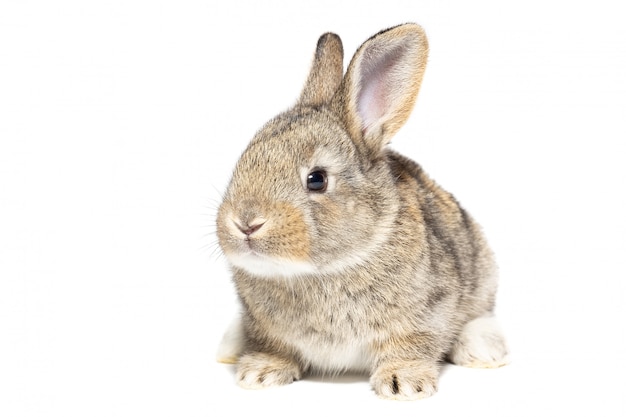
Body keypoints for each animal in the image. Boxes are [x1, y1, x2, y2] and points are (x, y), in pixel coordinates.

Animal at [214, 23, 508, 400]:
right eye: (243, 160)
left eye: (317, 179)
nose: (245, 223)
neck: (325, 269)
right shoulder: (265, 328)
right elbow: (273, 347)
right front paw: (260, 373)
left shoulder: (426, 315)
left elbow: (412, 346)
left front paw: (404, 384)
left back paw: (483, 350)